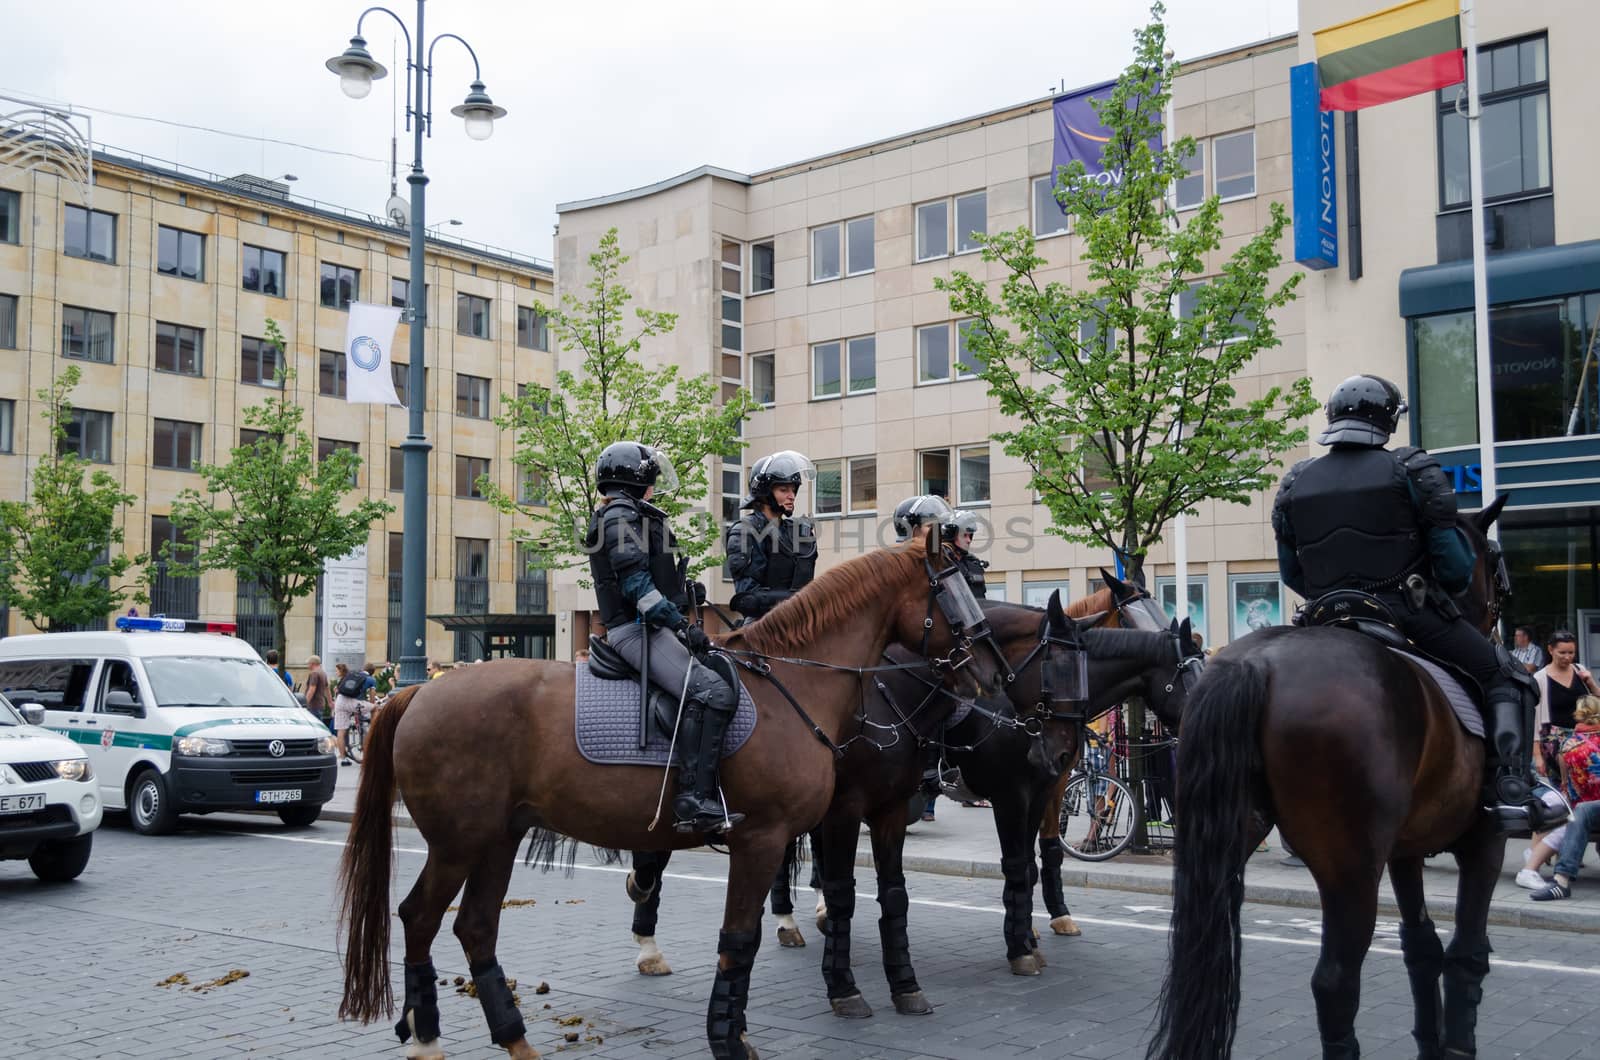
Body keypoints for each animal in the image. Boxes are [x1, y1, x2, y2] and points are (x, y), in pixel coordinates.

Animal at [337, 534, 1004, 1056]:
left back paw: (513, 1036)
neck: (794, 683)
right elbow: (739, 938)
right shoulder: (763, 838)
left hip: (498, 839)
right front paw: (728, 1039)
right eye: (954, 589)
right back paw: (428, 1039)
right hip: (458, 843)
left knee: (475, 927)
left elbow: (757, 935)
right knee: (419, 918)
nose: (992, 673)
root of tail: (416, 691)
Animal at [1152, 499, 1510, 1060]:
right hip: (1351, 868)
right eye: (1494, 564)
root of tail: (1256, 665)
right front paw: (1455, 1045)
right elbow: (1466, 952)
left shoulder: (1405, 851)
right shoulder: (1485, 840)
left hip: (1222, 842)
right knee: (1336, 981)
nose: (1498, 623)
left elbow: (1422, 947)